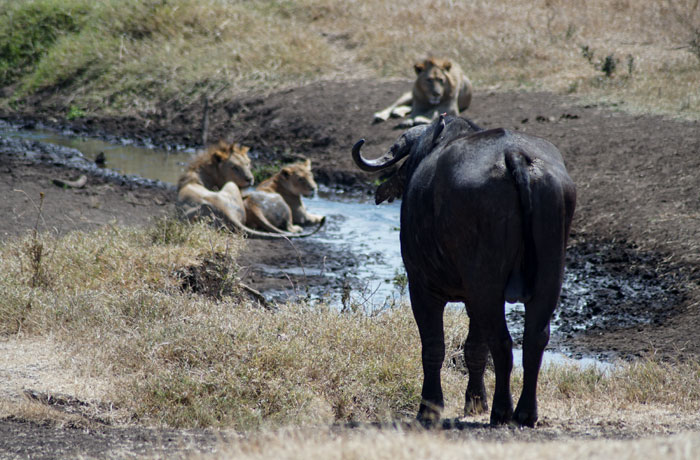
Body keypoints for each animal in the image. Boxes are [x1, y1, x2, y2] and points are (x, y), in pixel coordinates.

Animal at [352, 116, 576, 428]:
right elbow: (474, 348)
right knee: (534, 339)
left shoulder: (422, 289)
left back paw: (502, 411)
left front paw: (430, 407)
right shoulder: (471, 298)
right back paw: (525, 412)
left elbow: (434, 346)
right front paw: (475, 401)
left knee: (502, 342)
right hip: (546, 278)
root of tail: (514, 155)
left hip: (486, 286)